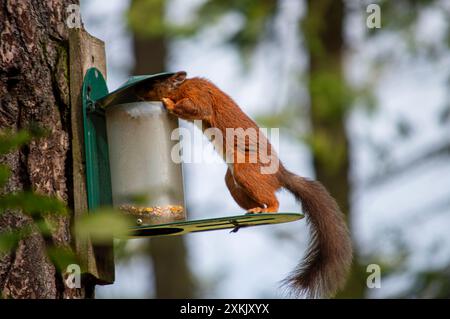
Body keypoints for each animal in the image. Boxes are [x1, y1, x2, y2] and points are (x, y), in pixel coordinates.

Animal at [142, 71, 354, 298]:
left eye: (155, 83)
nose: (141, 94)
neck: (184, 85)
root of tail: (280, 175)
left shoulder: (199, 94)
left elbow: (198, 108)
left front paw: (169, 103)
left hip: (245, 170)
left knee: (273, 201)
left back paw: (268, 209)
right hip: (233, 182)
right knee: (255, 199)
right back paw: (253, 212)